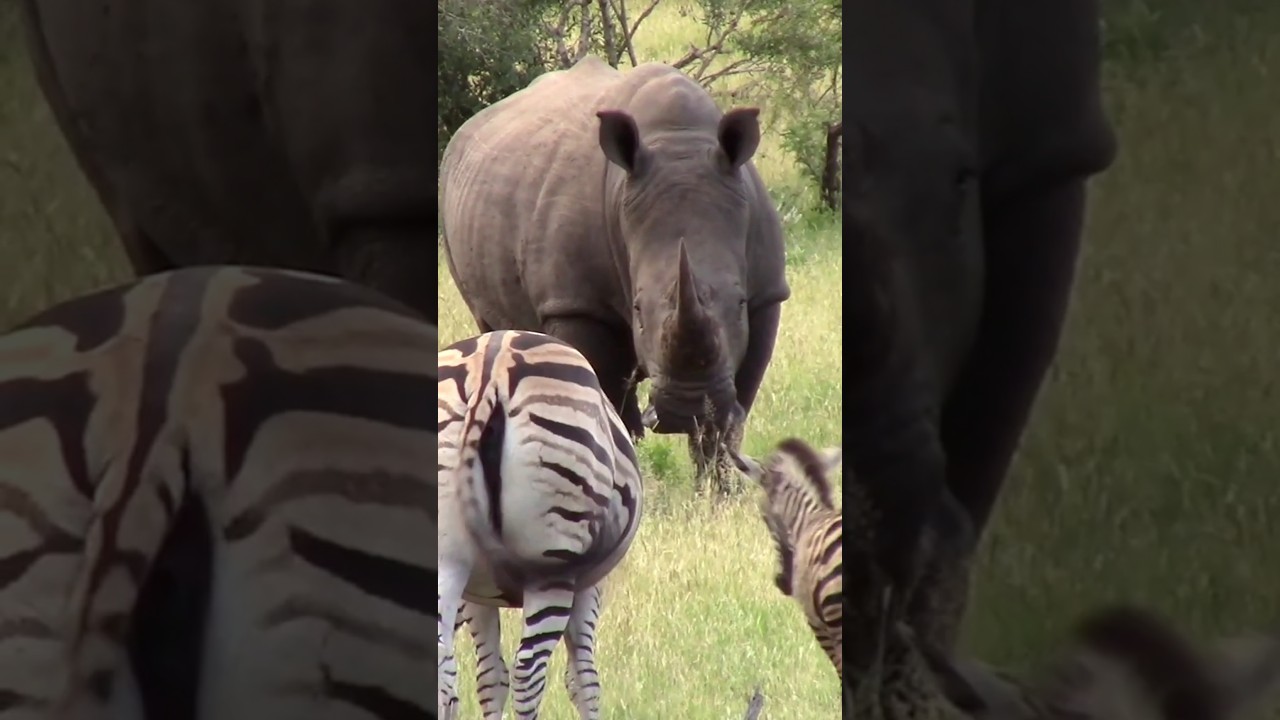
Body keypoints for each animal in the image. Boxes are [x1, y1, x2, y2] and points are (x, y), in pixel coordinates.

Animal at [437, 329, 644, 720]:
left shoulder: (476, 594)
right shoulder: (589, 584)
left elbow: (490, 678)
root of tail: (491, 370)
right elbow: (584, 678)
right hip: (552, 567)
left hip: (449, 560)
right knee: (528, 673)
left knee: (446, 670)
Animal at [439, 57, 790, 490]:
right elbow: (600, 394)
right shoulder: (578, 304)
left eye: (739, 303)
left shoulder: (766, 294)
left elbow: (730, 415)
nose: (687, 408)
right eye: (637, 310)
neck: (679, 140)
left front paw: (717, 491)